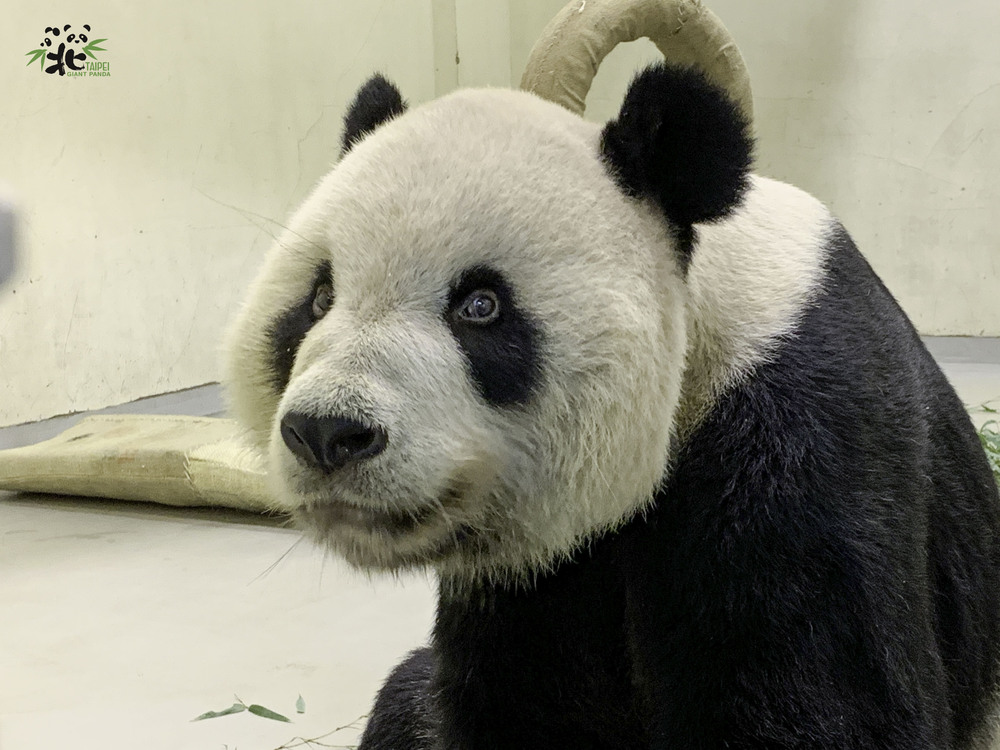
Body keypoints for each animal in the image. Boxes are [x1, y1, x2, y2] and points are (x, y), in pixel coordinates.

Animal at [225, 64, 1000, 750]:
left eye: (481, 306)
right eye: (319, 298)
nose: (327, 433)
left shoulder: (803, 438)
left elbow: (821, 700)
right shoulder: (535, 577)